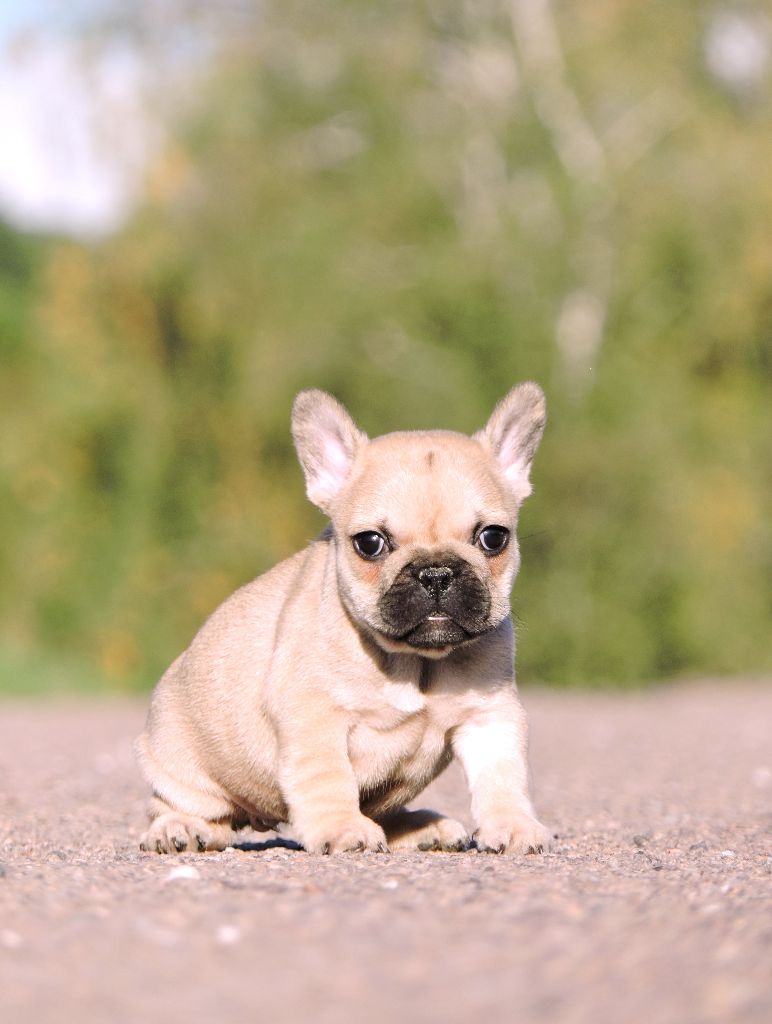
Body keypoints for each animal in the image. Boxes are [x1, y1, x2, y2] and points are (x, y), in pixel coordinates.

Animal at [135, 385, 548, 856]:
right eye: (370, 543)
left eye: (493, 537)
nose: (436, 573)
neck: (417, 663)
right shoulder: (315, 716)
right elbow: (329, 779)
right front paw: (341, 828)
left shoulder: (490, 718)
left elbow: (502, 779)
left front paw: (512, 824)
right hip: (178, 763)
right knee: (184, 808)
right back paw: (181, 830)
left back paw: (423, 829)